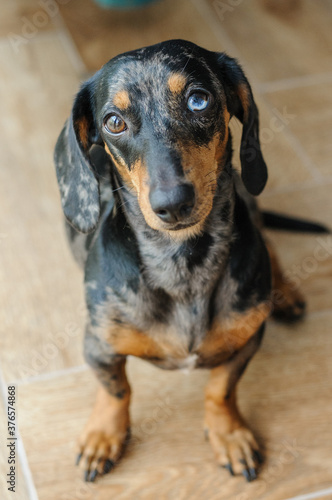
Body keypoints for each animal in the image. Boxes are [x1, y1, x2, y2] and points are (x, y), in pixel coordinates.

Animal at [53, 40, 322, 484]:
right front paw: (103, 436)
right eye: (113, 122)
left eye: (199, 99)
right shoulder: (99, 347)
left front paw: (228, 435)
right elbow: (116, 391)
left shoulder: (247, 341)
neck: (181, 263)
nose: (172, 203)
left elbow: (220, 390)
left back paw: (284, 292)